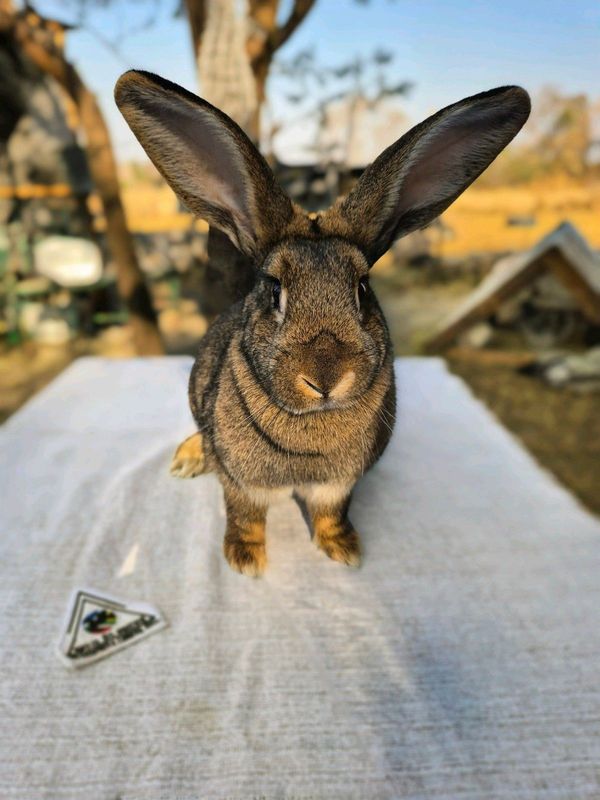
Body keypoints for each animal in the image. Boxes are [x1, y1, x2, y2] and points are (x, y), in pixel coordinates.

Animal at [115, 70, 528, 576]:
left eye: (363, 289)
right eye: (275, 290)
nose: (327, 377)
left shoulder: (340, 485)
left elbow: (332, 512)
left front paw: (343, 550)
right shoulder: (240, 482)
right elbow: (245, 514)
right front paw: (246, 560)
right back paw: (188, 458)